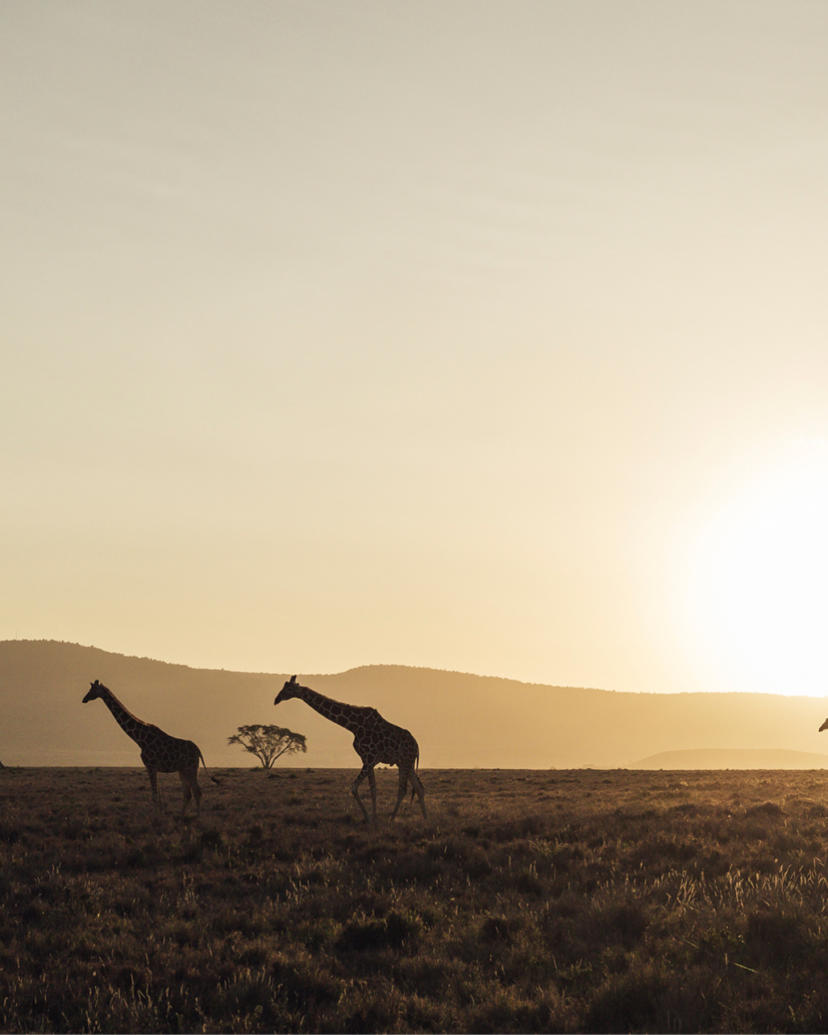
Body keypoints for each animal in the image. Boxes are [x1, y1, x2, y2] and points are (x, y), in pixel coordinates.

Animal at [82, 679, 218, 815]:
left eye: (92, 690)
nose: (84, 699)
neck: (140, 739)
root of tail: (198, 750)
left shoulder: (151, 766)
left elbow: (154, 795)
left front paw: (156, 816)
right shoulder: (151, 767)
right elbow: (155, 795)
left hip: (191, 768)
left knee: (197, 792)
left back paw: (197, 816)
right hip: (183, 770)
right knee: (188, 794)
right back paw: (181, 815)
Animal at [274, 676, 426, 822]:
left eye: (288, 689)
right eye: (283, 686)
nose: (276, 699)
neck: (354, 726)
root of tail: (417, 746)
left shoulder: (369, 759)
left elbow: (354, 788)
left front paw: (369, 819)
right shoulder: (367, 760)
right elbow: (373, 789)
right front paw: (373, 818)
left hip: (405, 761)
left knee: (403, 789)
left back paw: (392, 819)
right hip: (406, 763)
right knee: (419, 787)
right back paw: (425, 819)